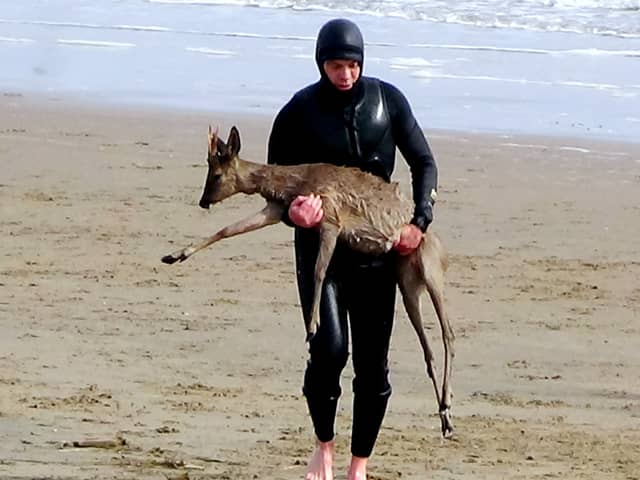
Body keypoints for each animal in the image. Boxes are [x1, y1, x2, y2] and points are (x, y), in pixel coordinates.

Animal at [162, 125, 458, 436]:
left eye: (217, 174)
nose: (203, 200)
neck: (293, 185)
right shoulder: (276, 209)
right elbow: (226, 230)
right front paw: (175, 255)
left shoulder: (331, 217)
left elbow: (318, 270)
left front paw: (312, 326)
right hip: (407, 282)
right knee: (427, 347)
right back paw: (444, 415)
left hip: (431, 269)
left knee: (448, 333)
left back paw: (448, 408)